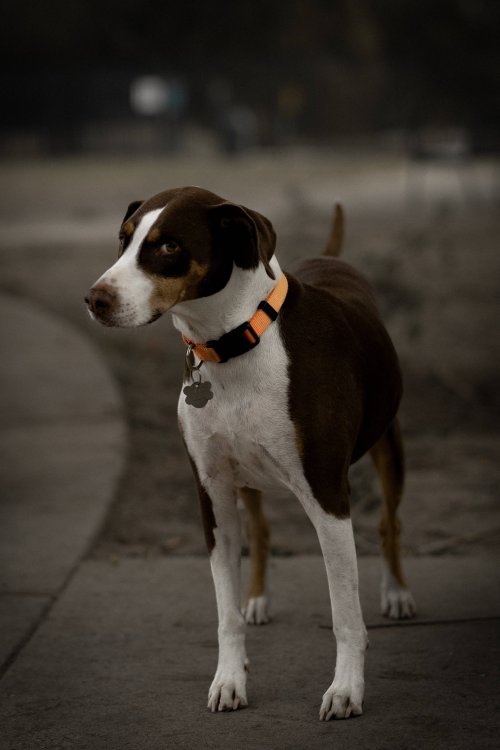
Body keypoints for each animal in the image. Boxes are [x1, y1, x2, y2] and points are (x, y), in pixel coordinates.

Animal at [85, 187, 414, 724]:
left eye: (169, 246)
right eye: (123, 238)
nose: (95, 299)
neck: (234, 344)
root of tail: (332, 256)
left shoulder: (328, 497)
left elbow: (345, 614)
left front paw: (346, 690)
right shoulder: (213, 496)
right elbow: (226, 612)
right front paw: (230, 679)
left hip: (389, 446)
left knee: (389, 521)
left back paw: (398, 593)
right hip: (248, 480)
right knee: (260, 531)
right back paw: (257, 599)